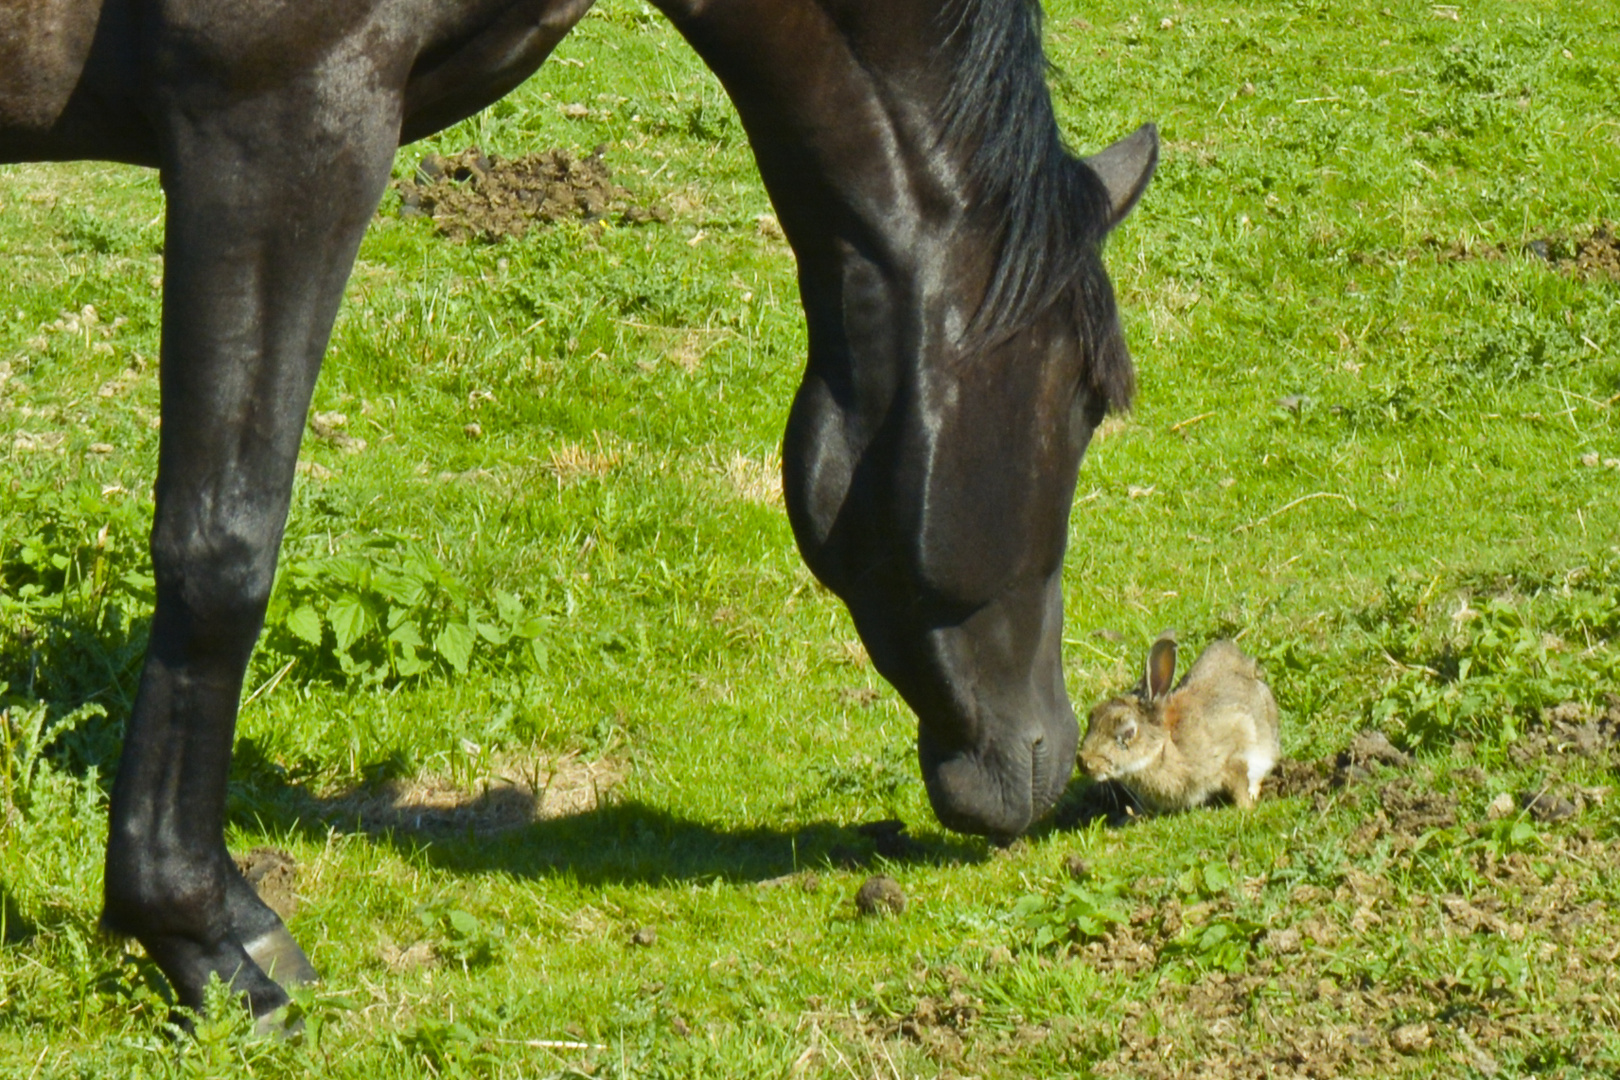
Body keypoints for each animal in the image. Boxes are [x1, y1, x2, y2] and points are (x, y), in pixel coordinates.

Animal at [1082, 634, 1283, 809]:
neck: (1163, 748)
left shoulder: (1233, 751)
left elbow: (1239, 783)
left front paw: (1246, 808)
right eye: (1091, 718)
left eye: (1128, 732)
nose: (1083, 761)